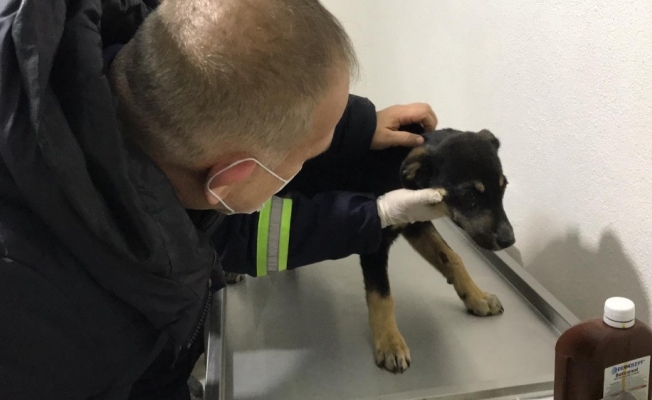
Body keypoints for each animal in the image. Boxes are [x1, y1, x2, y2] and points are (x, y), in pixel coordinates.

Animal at [224, 125, 514, 373]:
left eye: (503, 187)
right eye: (469, 196)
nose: (509, 240)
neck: (397, 171)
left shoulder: (416, 223)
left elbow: (452, 258)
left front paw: (477, 297)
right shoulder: (374, 239)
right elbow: (382, 296)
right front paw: (390, 344)